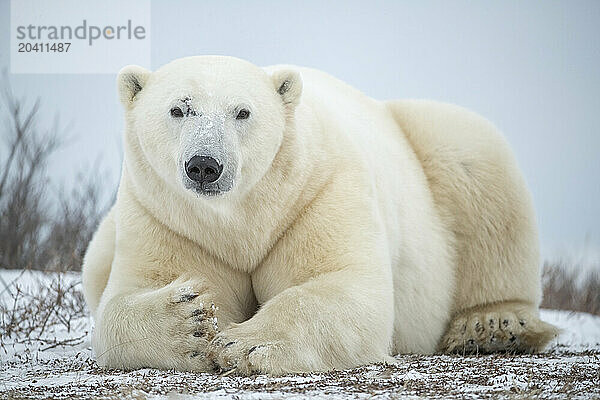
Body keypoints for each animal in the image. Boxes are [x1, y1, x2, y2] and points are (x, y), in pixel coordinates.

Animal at [81, 54, 556, 374]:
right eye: (178, 109)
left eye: (242, 111)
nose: (204, 165)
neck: (241, 218)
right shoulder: (167, 216)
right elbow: (126, 300)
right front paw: (190, 324)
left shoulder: (316, 192)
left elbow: (345, 286)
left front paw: (245, 343)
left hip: (434, 146)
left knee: (474, 159)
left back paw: (492, 325)